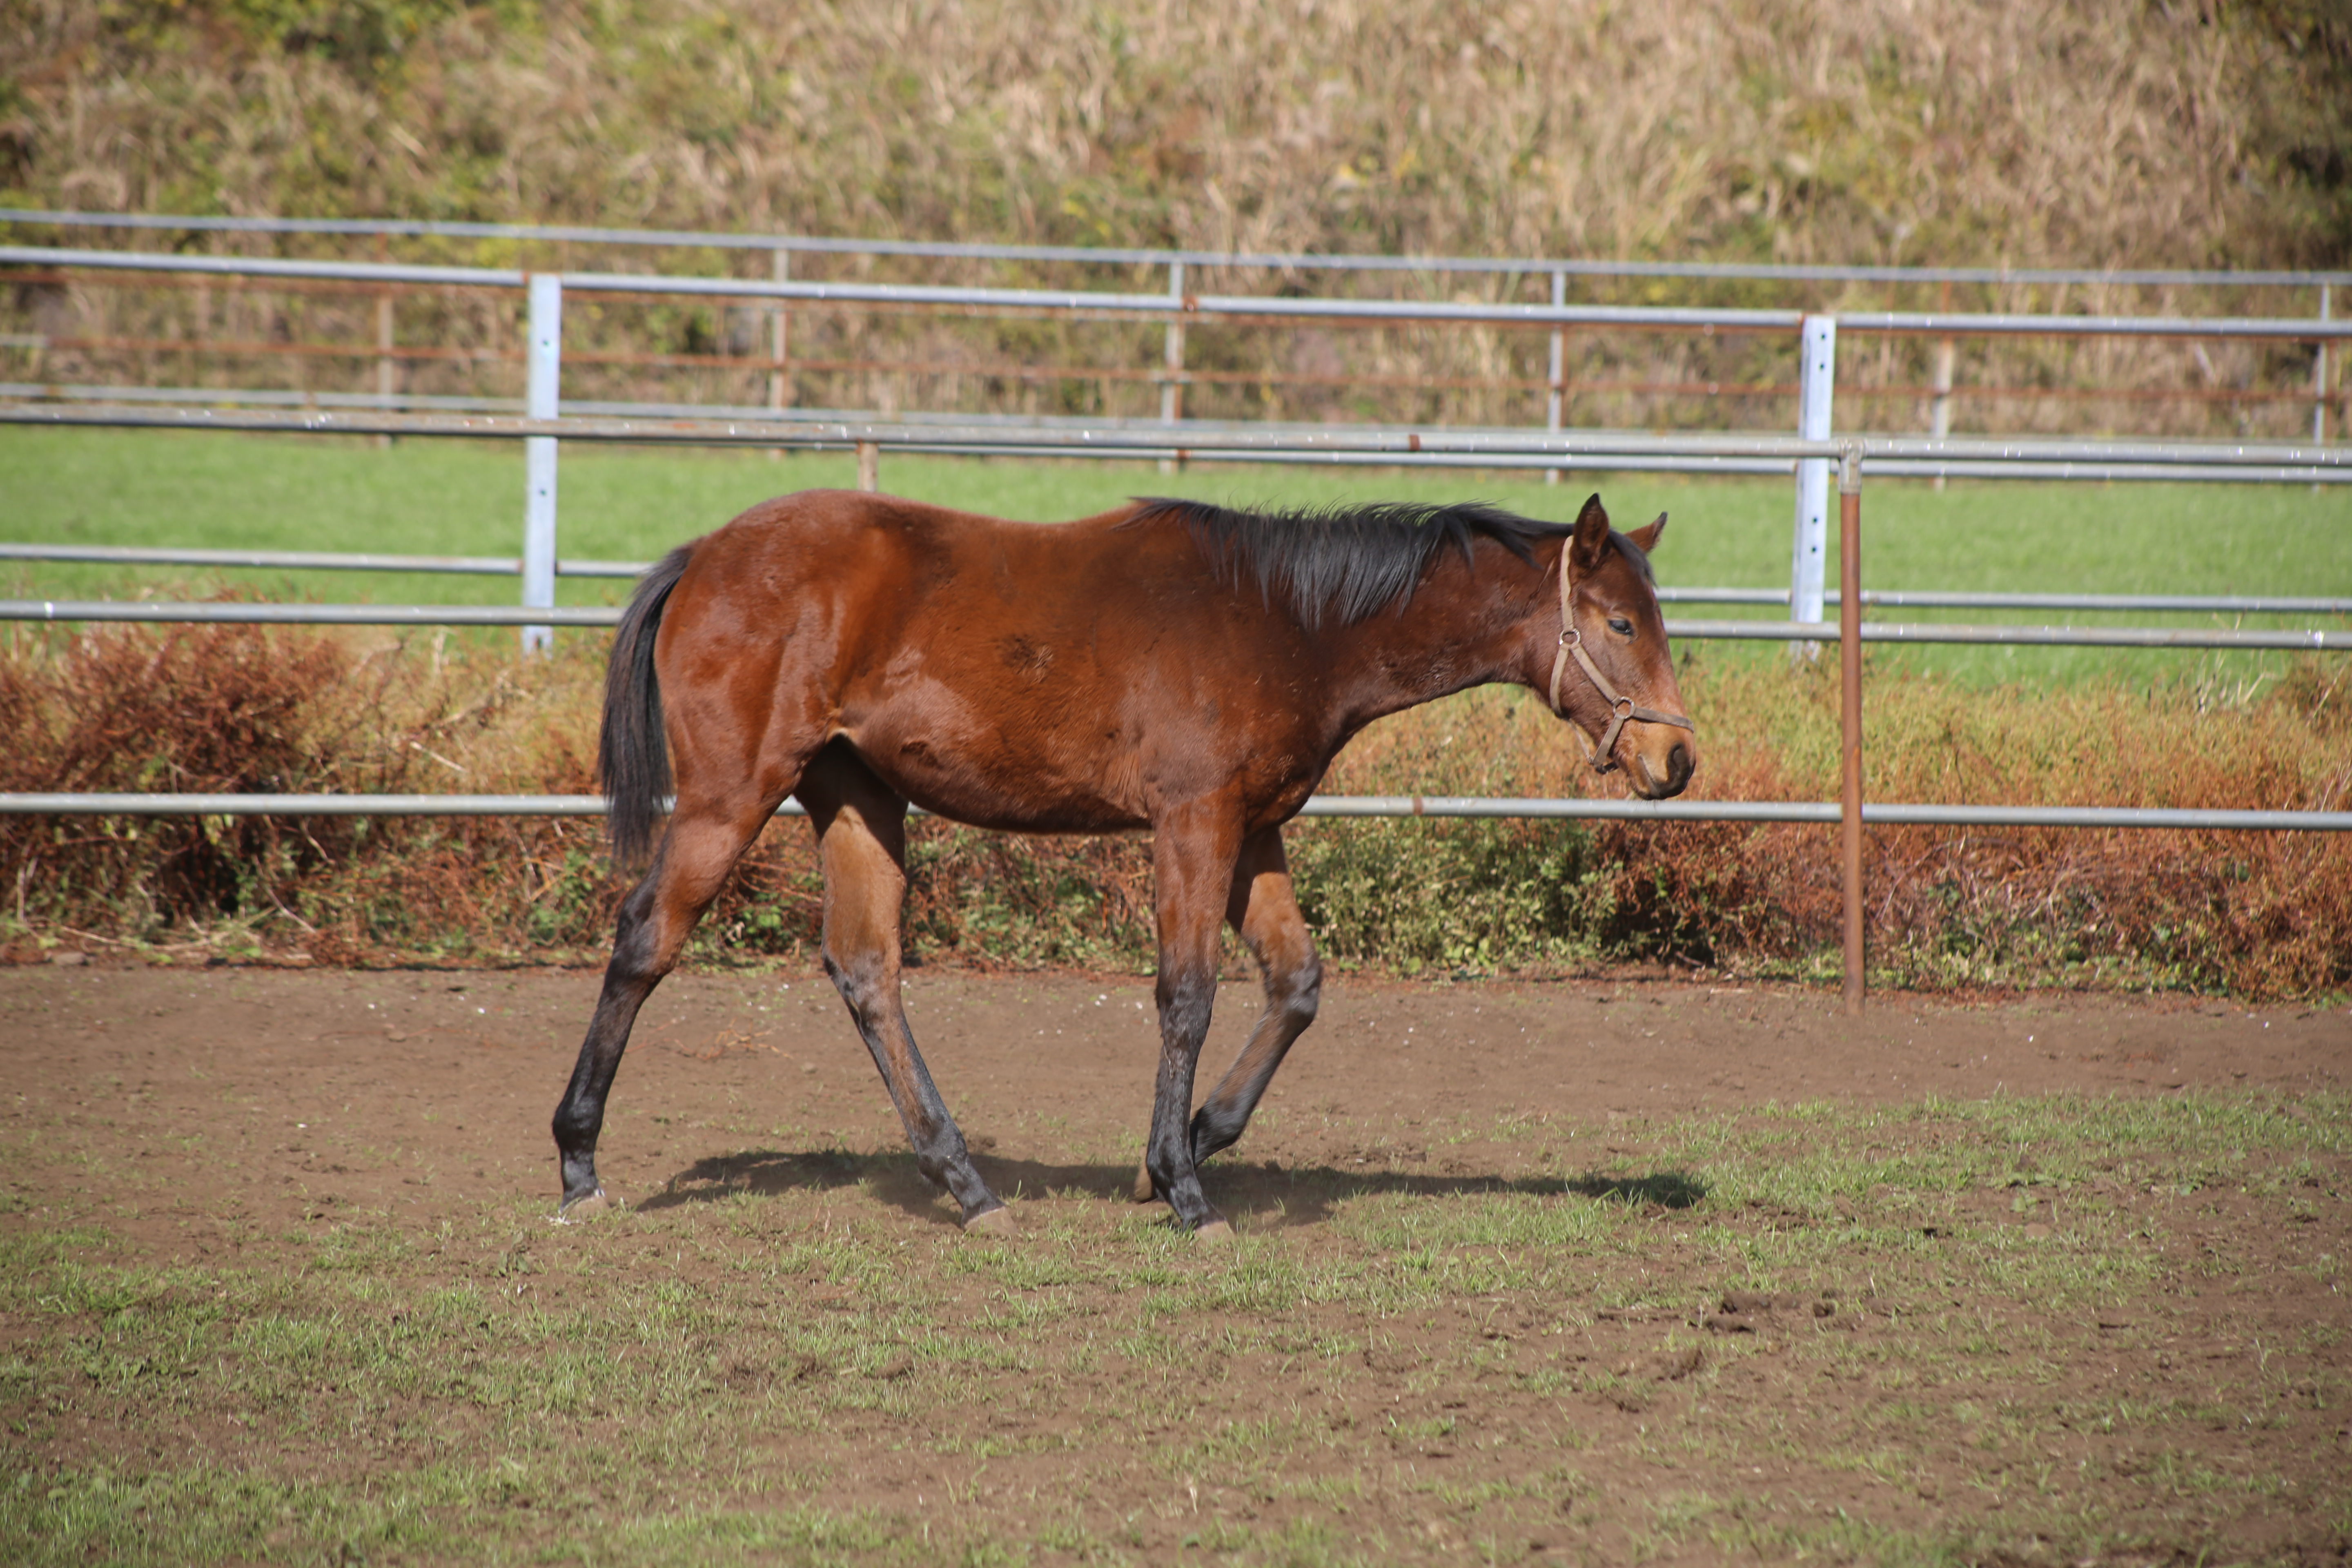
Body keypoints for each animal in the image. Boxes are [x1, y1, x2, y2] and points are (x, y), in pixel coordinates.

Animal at [550, 491, 1693, 1241]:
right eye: (1619, 622)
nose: (1674, 761)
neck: (1289, 621)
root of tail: (705, 555)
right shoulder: (1192, 822)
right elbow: (1185, 994)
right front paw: (1182, 1191)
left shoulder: (1251, 830)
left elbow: (1295, 982)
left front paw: (1189, 1143)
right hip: (730, 795)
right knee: (646, 939)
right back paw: (578, 1162)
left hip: (855, 796)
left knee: (866, 969)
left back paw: (967, 1185)